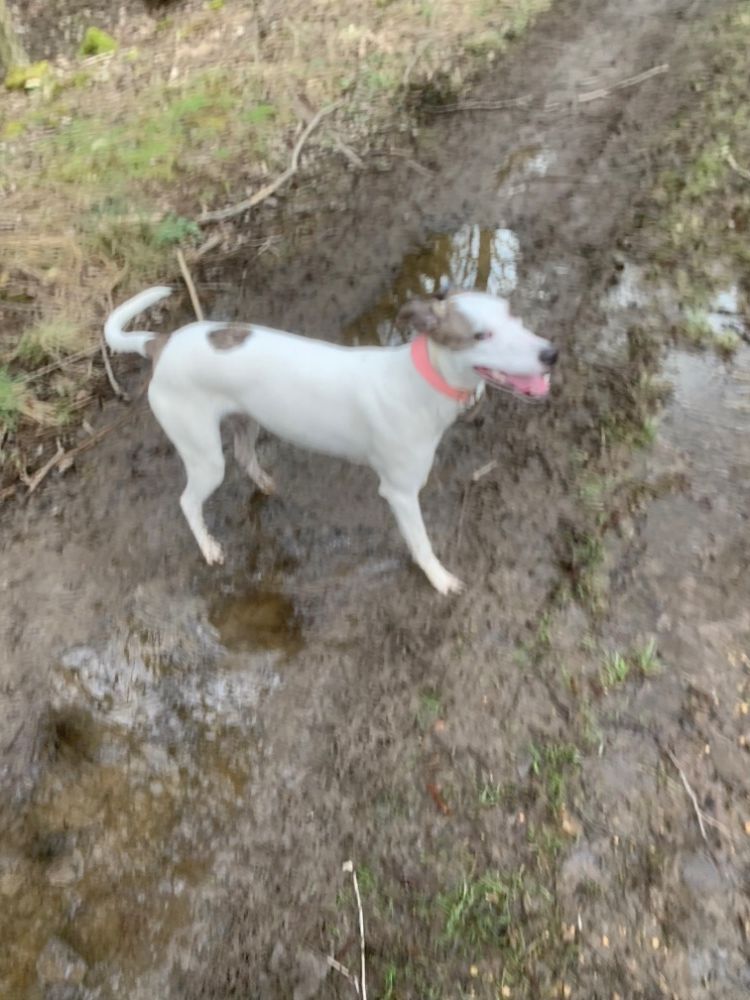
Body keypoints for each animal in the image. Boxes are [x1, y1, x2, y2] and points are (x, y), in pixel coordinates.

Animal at [104, 285, 557, 594]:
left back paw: (264, 483)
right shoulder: (400, 493)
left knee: (245, 455)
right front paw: (440, 578)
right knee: (188, 501)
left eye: (515, 317)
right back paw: (209, 547)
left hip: (246, 421)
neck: (421, 379)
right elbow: (421, 543)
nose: (551, 353)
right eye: (481, 336)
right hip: (204, 457)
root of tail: (160, 344)